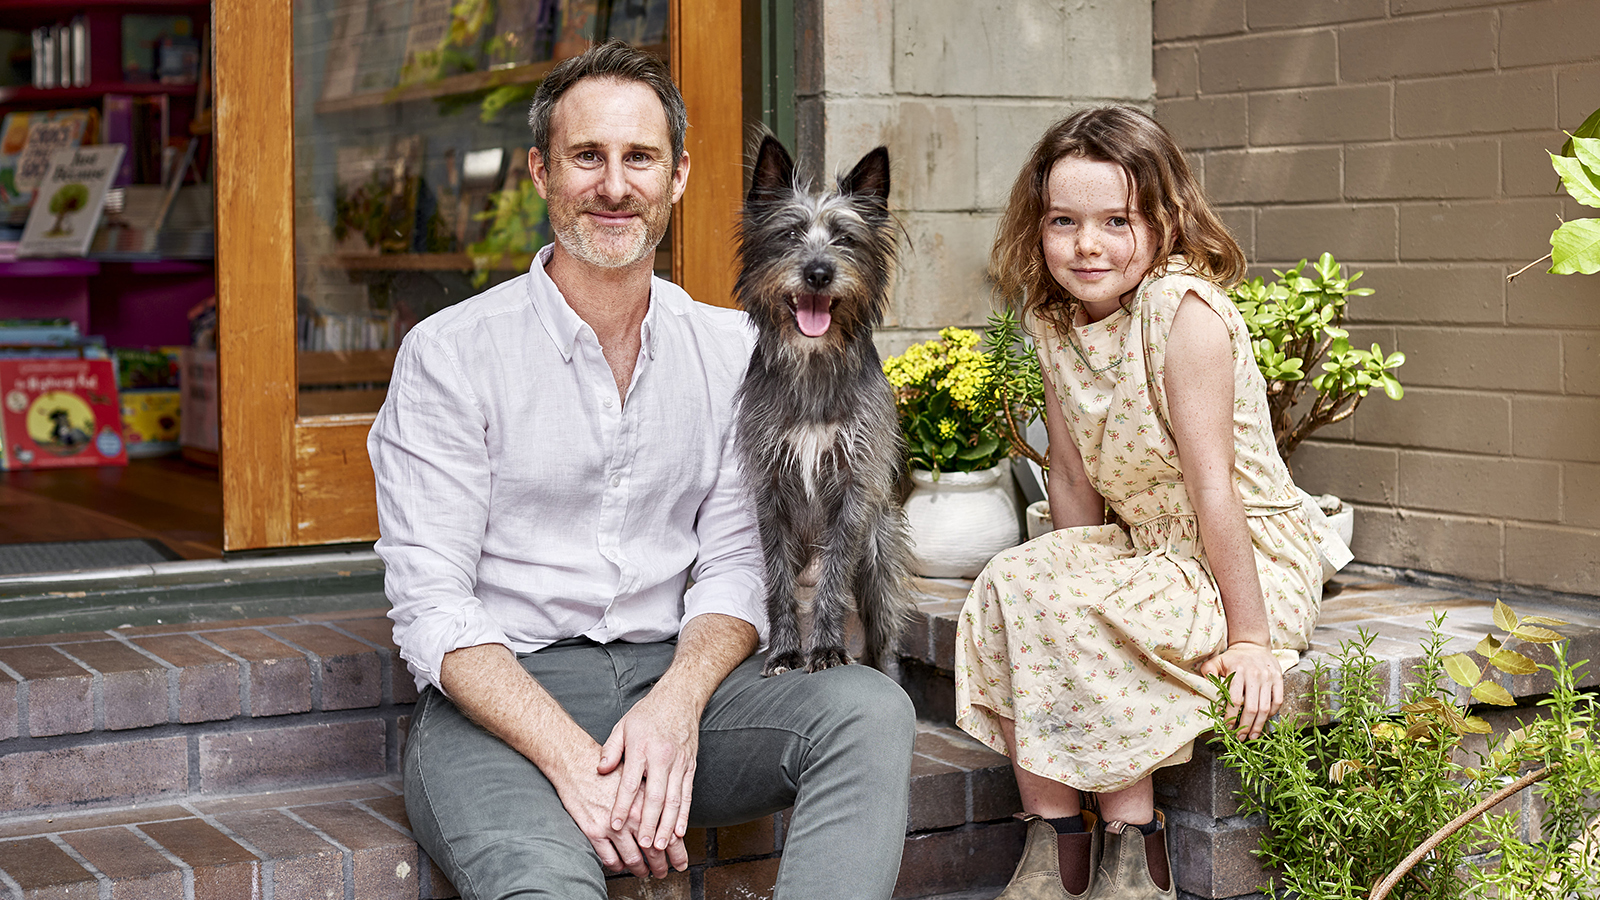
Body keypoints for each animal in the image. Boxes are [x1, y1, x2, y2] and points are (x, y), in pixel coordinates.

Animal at [732, 136, 915, 672]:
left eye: (846, 239)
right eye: (791, 233)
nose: (818, 272)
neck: (813, 364)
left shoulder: (854, 491)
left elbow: (833, 580)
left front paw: (828, 649)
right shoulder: (770, 489)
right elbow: (777, 582)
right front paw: (786, 651)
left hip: (878, 561)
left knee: (883, 640)